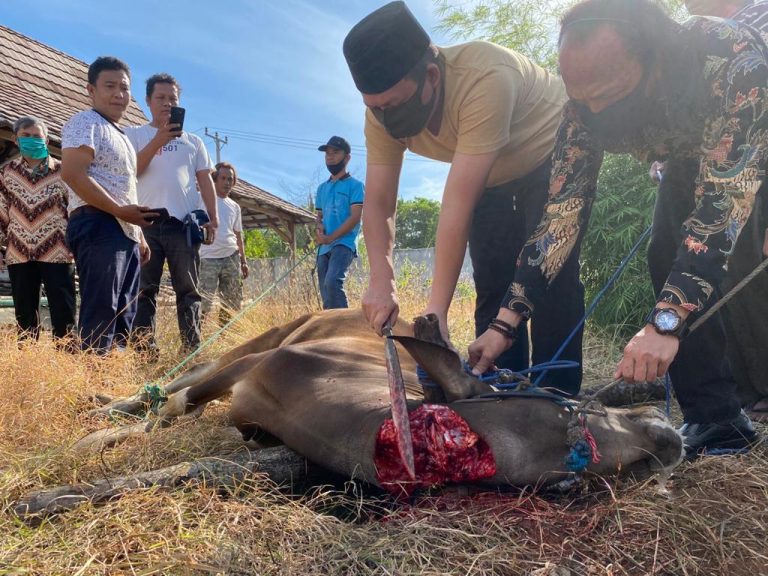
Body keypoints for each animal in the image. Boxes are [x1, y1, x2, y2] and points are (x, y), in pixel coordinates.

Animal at [158, 310, 684, 496]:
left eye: (577, 473)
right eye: (571, 405)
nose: (665, 430)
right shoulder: (260, 363)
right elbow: (185, 399)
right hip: (274, 333)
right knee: (197, 369)